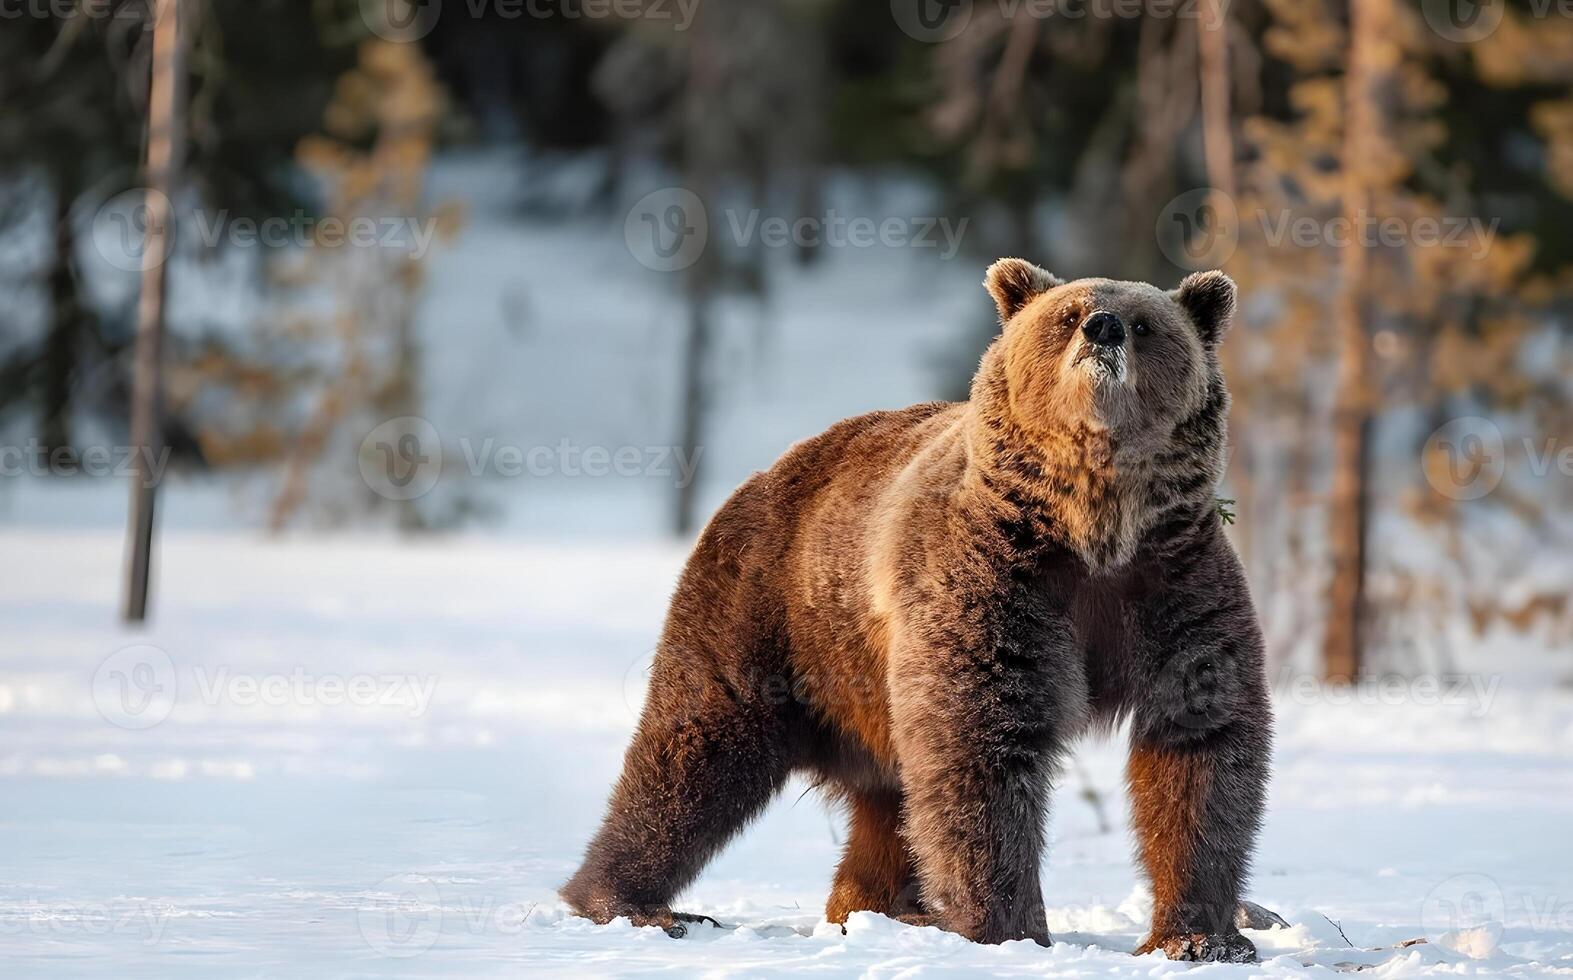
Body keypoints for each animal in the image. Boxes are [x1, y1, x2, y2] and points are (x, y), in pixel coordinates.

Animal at [559, 256, 1270, 962]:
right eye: (1066, 315)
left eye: (1145, 322)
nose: (1102, 328)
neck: (1091, 528)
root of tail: (768, 473)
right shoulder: (995, 580)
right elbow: (980, 744)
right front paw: (1010, 927)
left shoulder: (1173, 584)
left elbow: (1202, 743)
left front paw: (1201, 936)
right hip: (772, 611)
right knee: (695, 753)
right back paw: (633, 902)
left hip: (864, 689)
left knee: (888, 805)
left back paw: (876, 907)